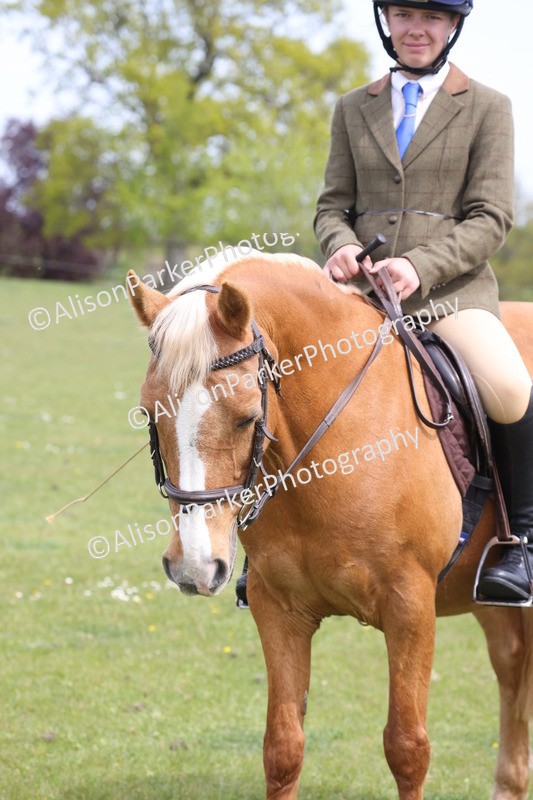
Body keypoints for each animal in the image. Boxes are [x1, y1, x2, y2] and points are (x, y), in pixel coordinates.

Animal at [127, 251, 533, 800]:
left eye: (246, 417)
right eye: (149, 412)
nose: (193, 566)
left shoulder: (410, 605)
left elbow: (407, 747)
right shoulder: (277, 607)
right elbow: (282, 747)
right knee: (512, 665)